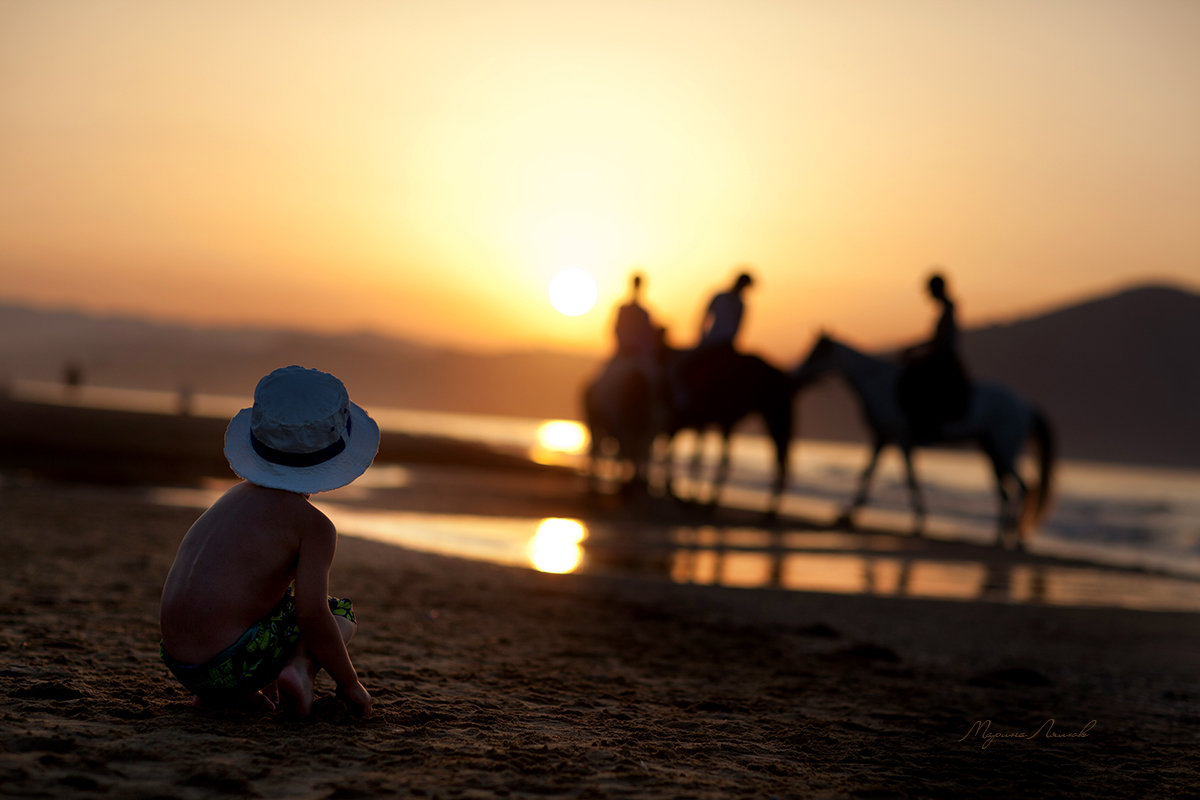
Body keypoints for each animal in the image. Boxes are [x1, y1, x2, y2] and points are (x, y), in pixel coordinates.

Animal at [801, 333, 1056, 551]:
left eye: (816, 352)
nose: (798, 373)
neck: (878, 383)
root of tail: (1026, 406)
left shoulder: (901, 439)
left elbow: (910, 479)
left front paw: (918, 521)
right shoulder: (882, 437)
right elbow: (868, 473)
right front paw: (848, 514)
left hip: (1004, 447)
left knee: (1023, 486)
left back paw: (1014, 536)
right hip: (990, 448)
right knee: (1005, 490)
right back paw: (1000, 536)